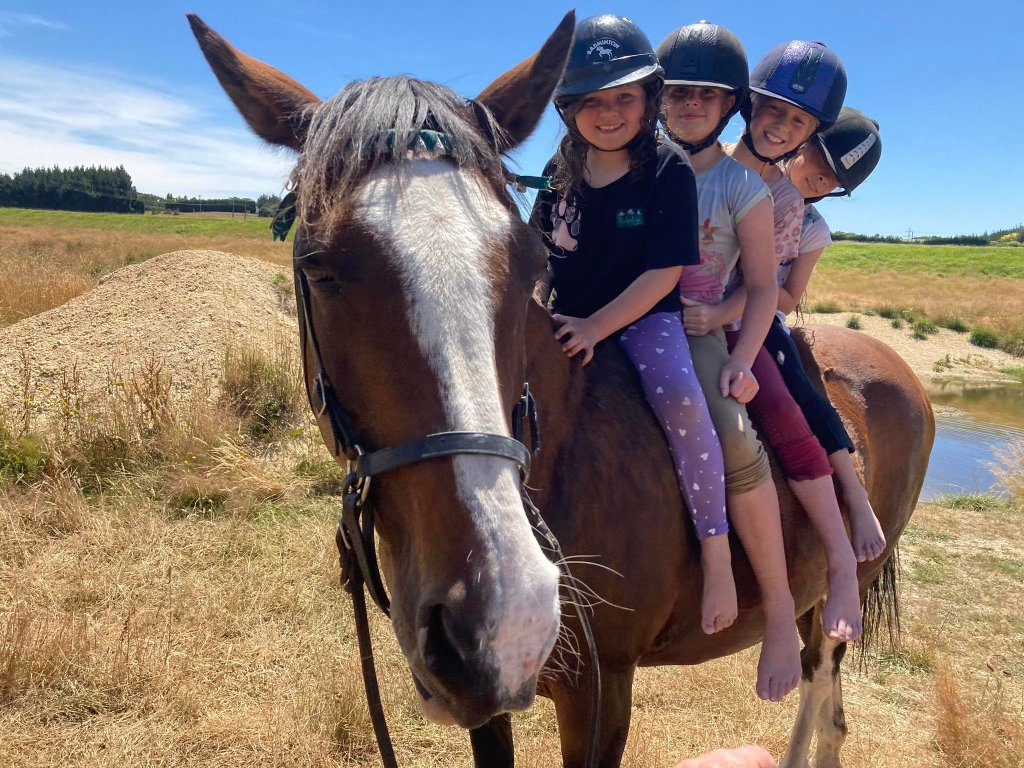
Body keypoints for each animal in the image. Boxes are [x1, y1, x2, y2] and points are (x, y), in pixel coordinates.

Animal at [189, 13, 934, 768]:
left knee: (821, 690)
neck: (567, 451)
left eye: (528, 264)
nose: (504, 614)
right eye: (319, 267)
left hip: (838, 596)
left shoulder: (601, 695)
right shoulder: (487, 702)